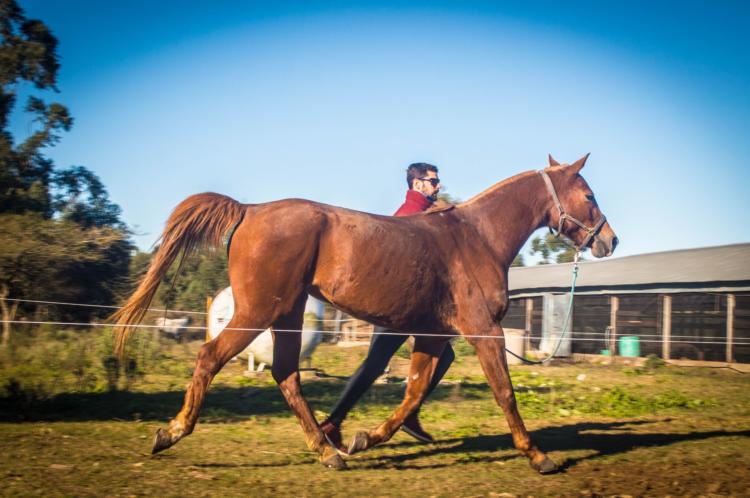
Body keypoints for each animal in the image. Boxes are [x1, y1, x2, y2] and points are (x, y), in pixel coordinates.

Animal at [114, 153, 617, 473]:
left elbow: (413, 392)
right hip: (258, 311)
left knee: (286, 373)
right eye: (590, 195)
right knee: (212, 357)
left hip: (287, 314)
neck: (477, 237)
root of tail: (249, 210)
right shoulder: (482, 331)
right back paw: (172, 433)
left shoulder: (433, 336)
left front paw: (366, 438)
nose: (610, 241)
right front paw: (539, 457)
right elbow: (504, 394)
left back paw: (327, 449)